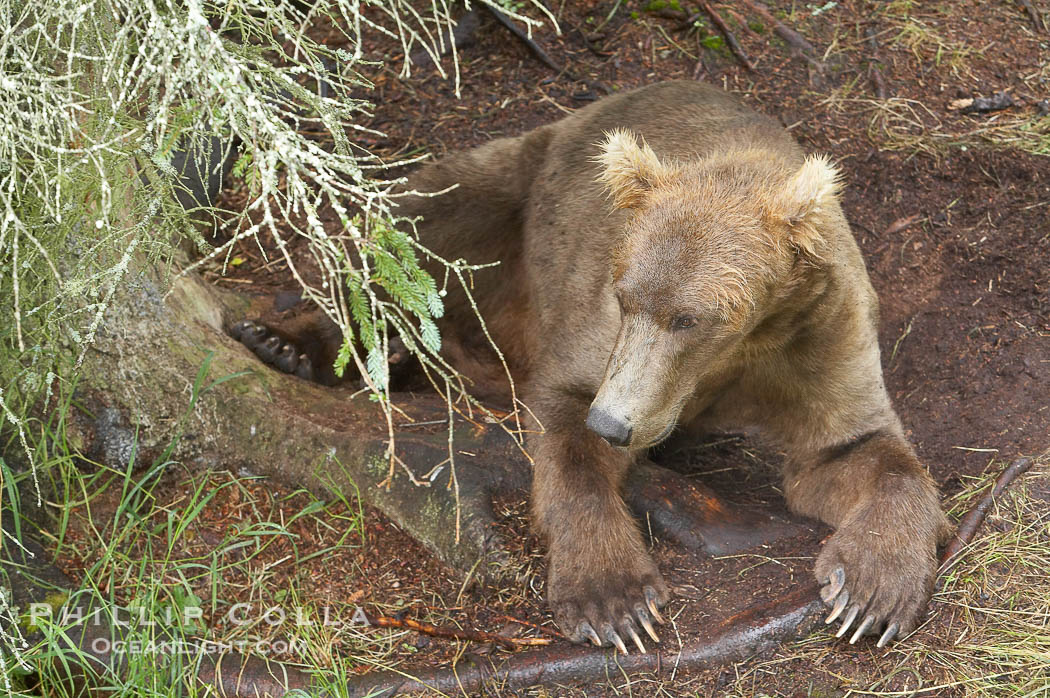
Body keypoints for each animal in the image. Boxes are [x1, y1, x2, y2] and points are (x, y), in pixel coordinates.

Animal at [233, 80, 951, 652]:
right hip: (515, 183)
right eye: (628, 298)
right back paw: (284, 340)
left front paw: (870, 592)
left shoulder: (815, 339)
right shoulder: (600, 327)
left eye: (694, 317)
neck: (732, 360)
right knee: (410, 226)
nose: (616, 423)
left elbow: (857, 449)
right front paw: (615, 601)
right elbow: (567, 427)